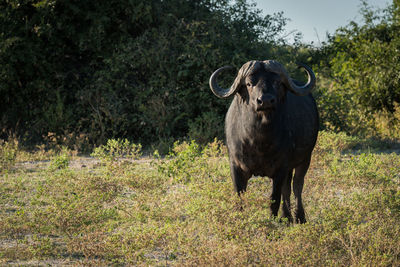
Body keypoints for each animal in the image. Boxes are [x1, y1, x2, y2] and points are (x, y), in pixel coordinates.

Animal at [209, 60, 318, 224]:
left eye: (277, 82)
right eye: (249, 83)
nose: (265, 100)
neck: (259, 141)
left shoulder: (281, 168)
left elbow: (275, 198)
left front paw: (273, 220)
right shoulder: (236, 166)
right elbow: (239, 196)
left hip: (305, 159)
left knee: (296, 186)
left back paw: (299, 217)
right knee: (288, 188)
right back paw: (287, 217)